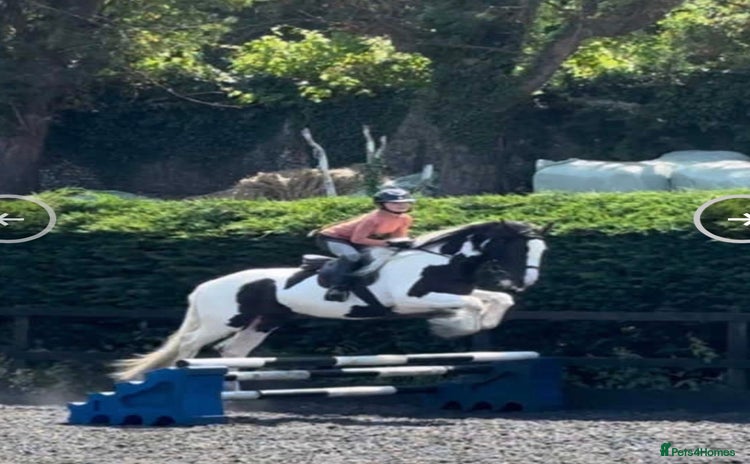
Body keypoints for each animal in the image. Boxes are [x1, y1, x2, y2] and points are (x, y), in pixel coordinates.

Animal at [112, 220, 552, 381]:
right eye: (519, 250)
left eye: (541, 251)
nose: (526, 282)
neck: (440, 260)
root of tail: (204, 286)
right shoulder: (408, 300)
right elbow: (474, 305)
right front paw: (456, 326)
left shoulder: (450, 292)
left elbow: (493, 300)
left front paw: (477, 322)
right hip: (225, 319)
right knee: (189, 345)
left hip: (263, 323)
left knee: (231, 351)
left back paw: (236, 382)